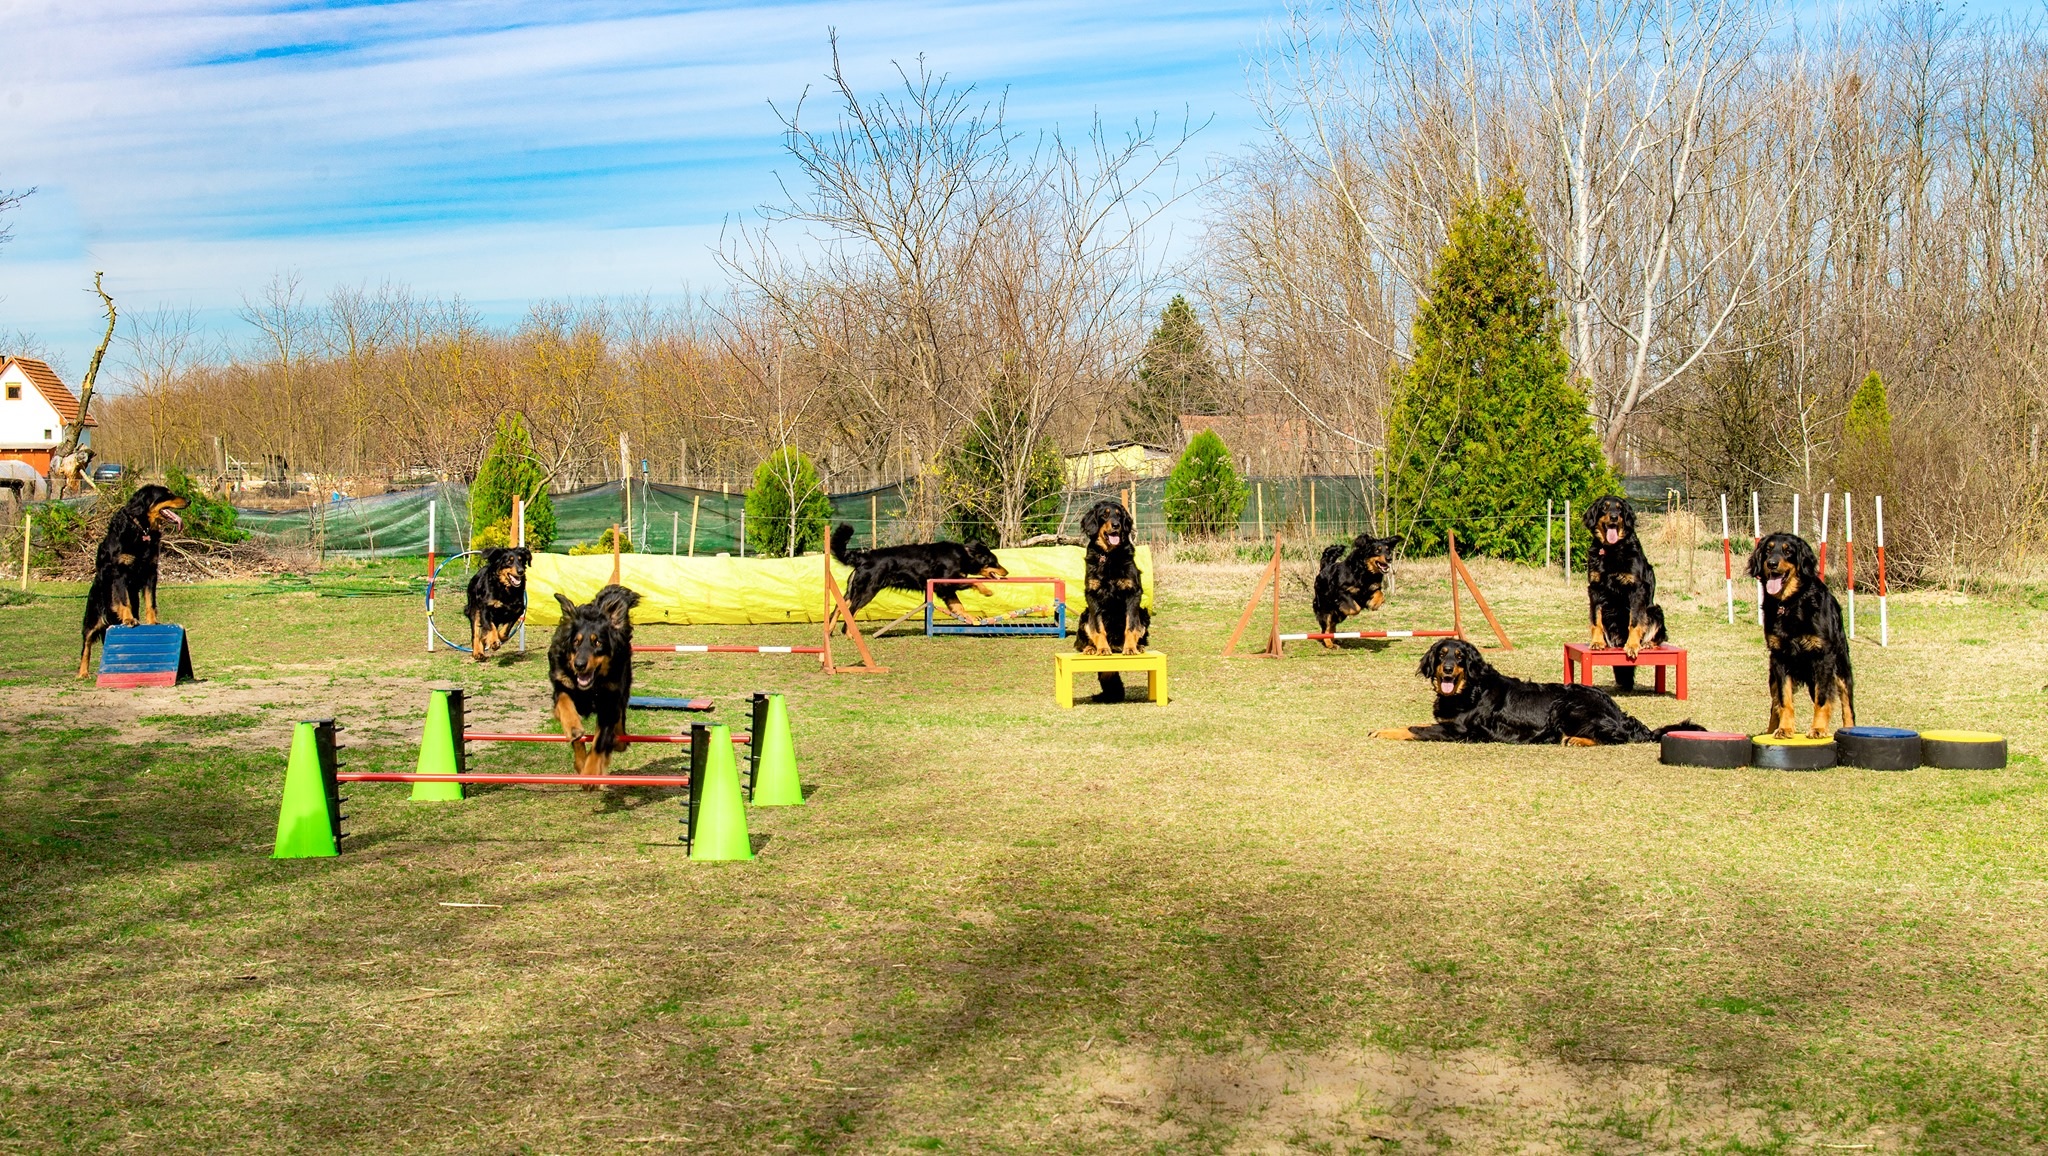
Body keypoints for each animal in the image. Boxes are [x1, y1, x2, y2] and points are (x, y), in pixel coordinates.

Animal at [544, 582, 638, 782]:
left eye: (598, 643)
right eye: (576, 642)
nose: (579, 665)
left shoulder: (609, 700)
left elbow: (600, 740)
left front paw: (591, 775)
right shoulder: (560, 686)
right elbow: (565, 705)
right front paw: (573, 729)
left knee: (620, 718)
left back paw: (619, 740)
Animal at [827, 524, 1011, 631]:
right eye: (994, 562)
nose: (1007, 572)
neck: (963, 555)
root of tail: (863, 557)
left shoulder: (946, 591)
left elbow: (959, 607)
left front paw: (972, 618)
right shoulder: (945, 584)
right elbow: (973, 581)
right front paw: (987, 591)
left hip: (853, 590)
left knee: (838, 608)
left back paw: (830, 630)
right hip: (867, 591)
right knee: (851, 610)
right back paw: (849, 634)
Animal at [1376, 635, 1712, 746]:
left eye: (1460, 657)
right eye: (1442, 654)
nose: (1446, 669)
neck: (1466, 691)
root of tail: (1617, 711)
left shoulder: (1460, 731)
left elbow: (1416, 729)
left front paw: (1384, 731)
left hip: (1568, 705)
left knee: (1615, 736)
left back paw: (1576, 739)